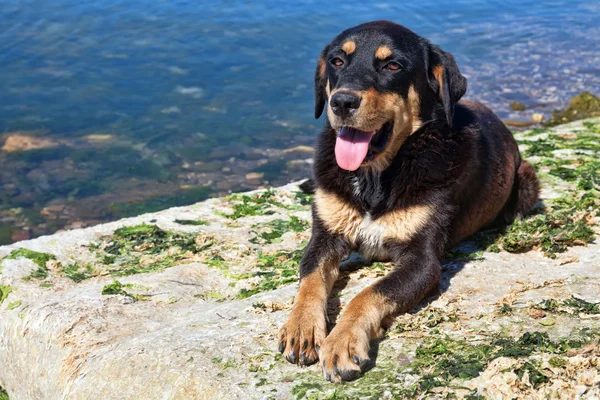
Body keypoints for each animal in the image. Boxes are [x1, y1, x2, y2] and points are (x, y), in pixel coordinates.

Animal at [278, 20, 540, 382]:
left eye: (393, 66)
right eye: (337, 61)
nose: (341, 102)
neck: (374, 177)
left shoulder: (422, 260)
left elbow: (368, 293)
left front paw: (343, 340)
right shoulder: (325, 236)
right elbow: (310, 278)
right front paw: (302, 325)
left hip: (525, 183)